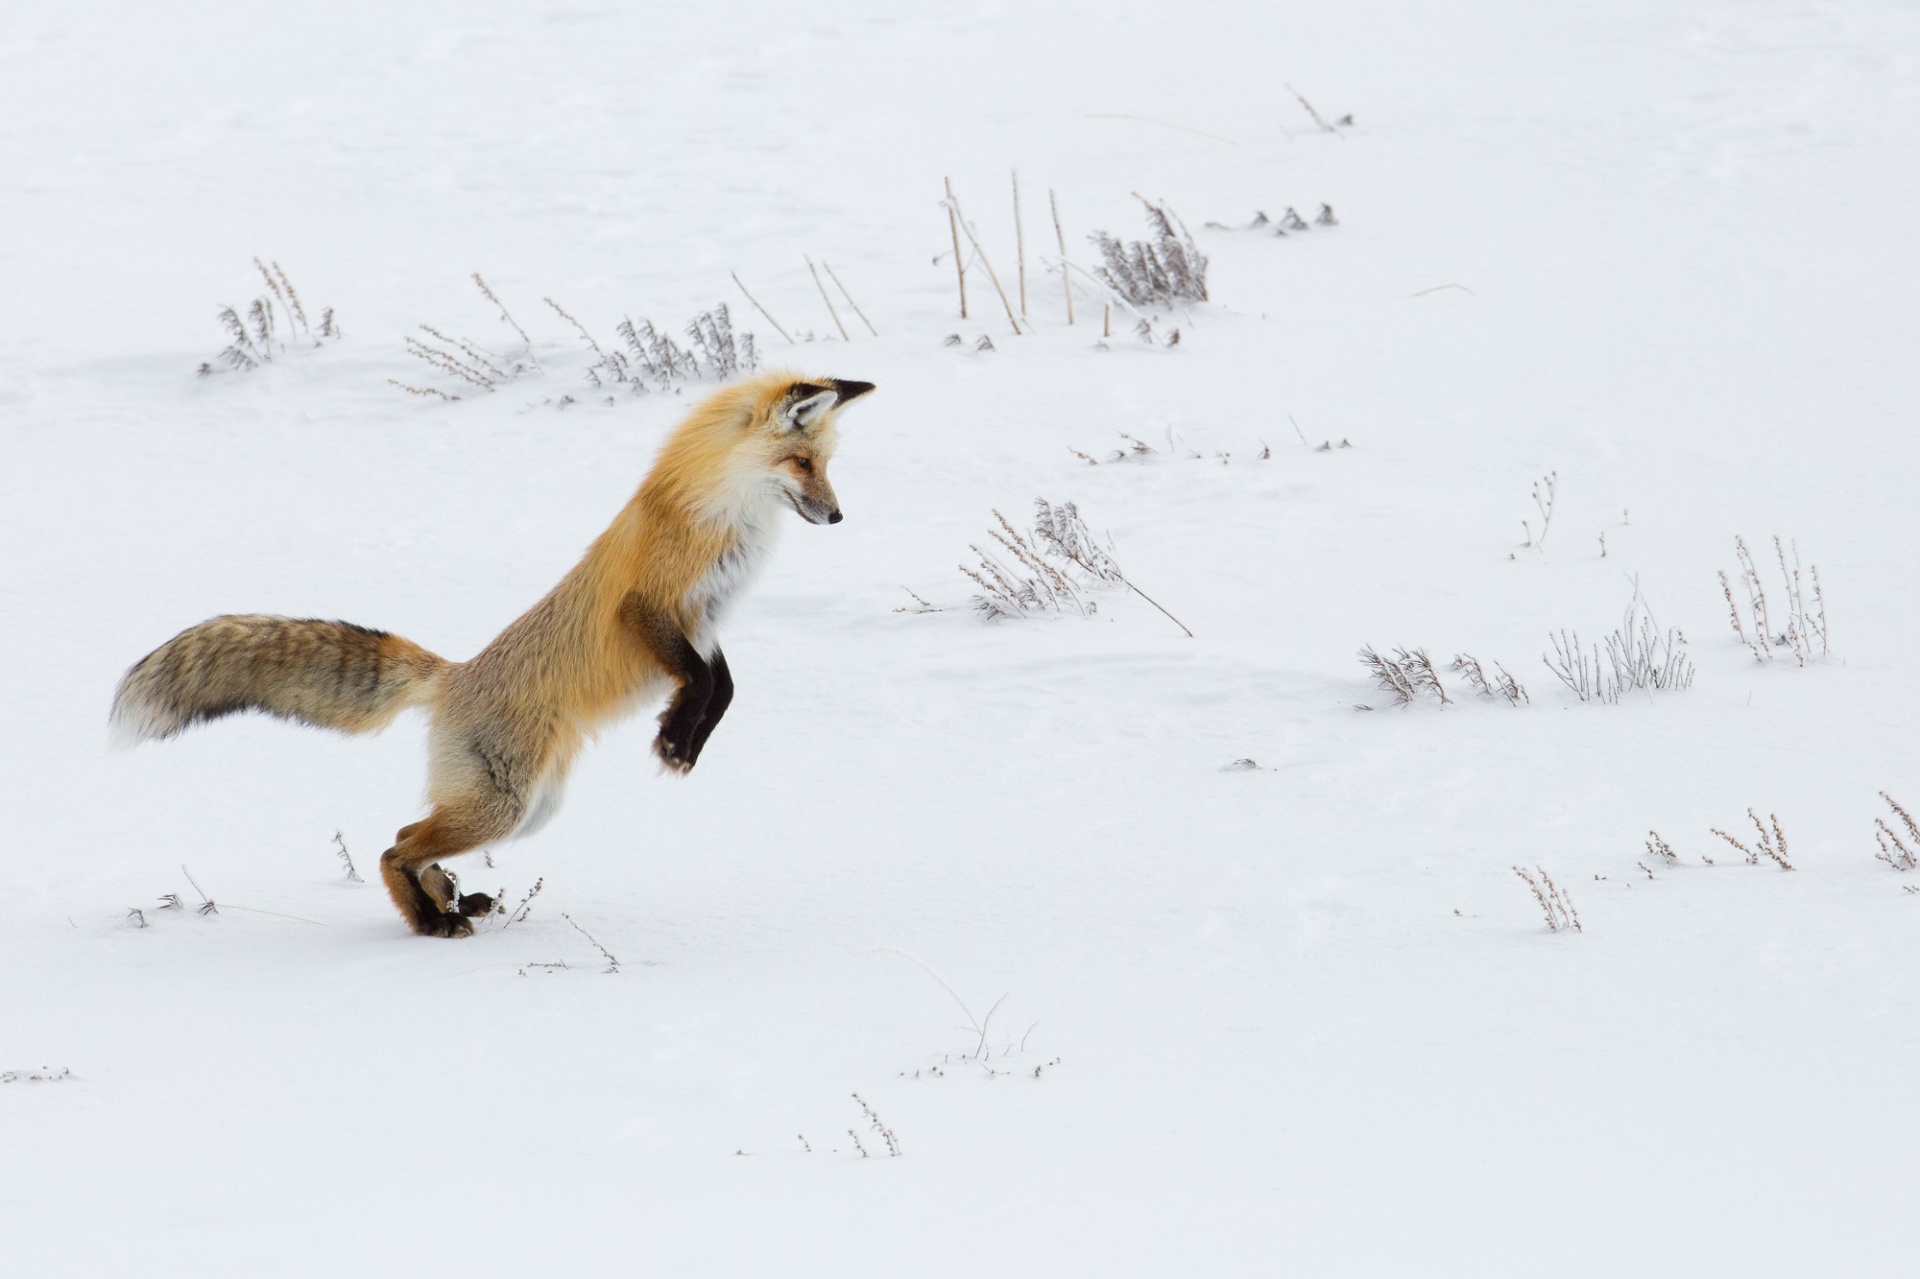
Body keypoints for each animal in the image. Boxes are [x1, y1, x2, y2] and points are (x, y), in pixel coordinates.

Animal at [112, 374, 879, 933]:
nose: (840, 515)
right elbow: (700, 681)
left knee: (407, 833)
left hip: (529, 807)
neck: (723, 515)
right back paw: (432, 920)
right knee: (393, 845)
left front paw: (681, 739)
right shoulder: (651, 607)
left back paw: (450, 902)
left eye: (826, 464)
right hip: (505, 806)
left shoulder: (706, 623)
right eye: (802, 462)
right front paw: (674, 738)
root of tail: (453, 676)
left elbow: (722, 687)